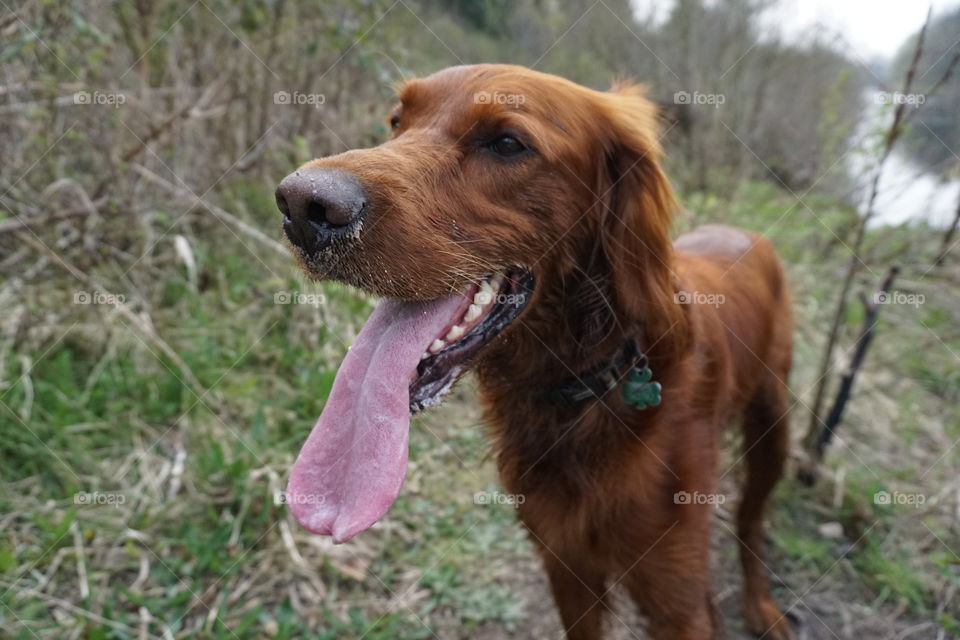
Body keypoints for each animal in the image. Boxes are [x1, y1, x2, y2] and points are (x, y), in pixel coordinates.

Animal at [274, 65, 792, 640]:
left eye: (507, 143)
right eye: (396, 121)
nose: (302, 206)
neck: (582, 389)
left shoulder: (676, 602)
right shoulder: (566, 569)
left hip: (774, 426)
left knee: (751, 517)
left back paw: (762, 604)